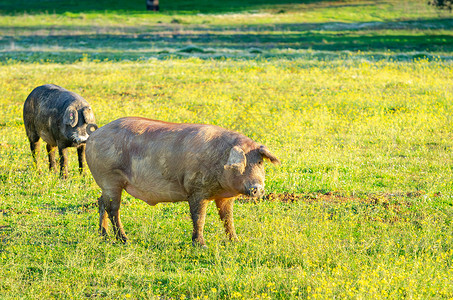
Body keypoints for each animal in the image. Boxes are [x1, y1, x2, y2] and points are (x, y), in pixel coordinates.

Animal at [85, 116, 278, 246]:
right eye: (242, 163)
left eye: (259, 162)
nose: (257, 188)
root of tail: (95, 134)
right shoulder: (196, 190)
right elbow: (199, 217)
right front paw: (201, 245)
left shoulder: (225, 197)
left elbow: (227, 218)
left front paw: (236, 241)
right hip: (110, 178)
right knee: (113, 209)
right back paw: (124, 240)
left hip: (106, 185)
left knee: (100, 202)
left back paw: (103, 236)